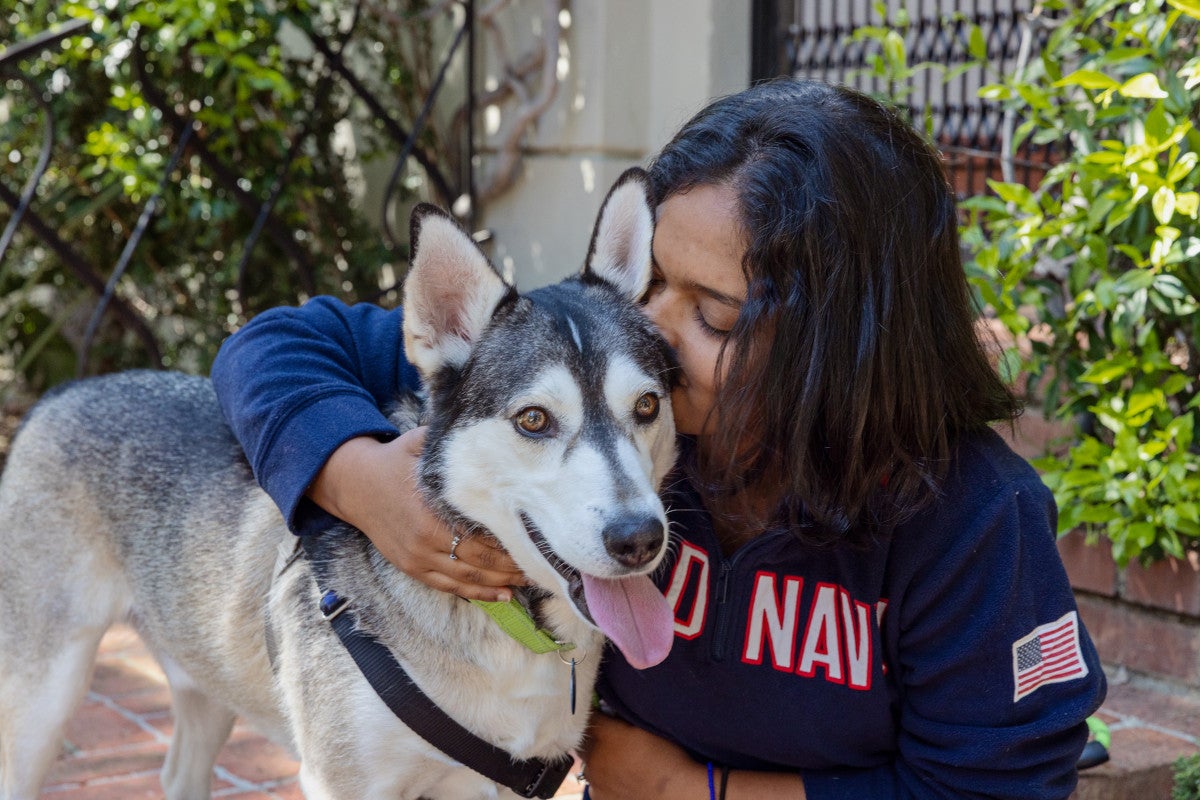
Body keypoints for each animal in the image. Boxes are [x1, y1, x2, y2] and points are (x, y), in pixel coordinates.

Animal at [0, 169, 676, 800]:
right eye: (533, 419)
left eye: (646, 406)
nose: (639, 539)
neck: (513, 630)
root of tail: (58, 394)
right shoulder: (342, 781)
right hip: (42, 703)